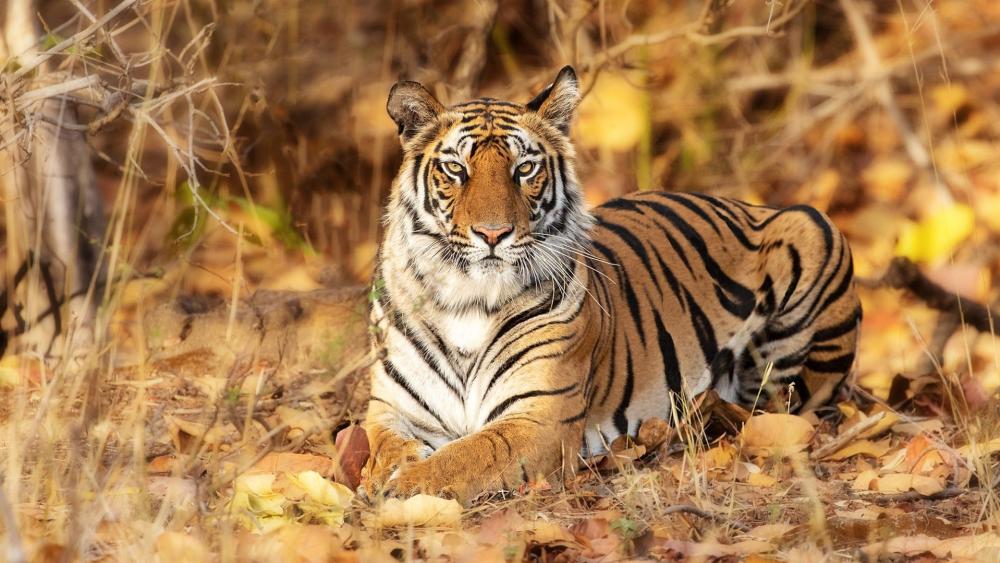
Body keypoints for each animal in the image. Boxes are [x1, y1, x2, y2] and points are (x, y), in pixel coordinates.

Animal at [360, 66, 861, 504]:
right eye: (456, 170)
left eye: (524, 169)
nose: (492, 233)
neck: (467, 300)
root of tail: (746, 204)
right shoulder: (391, 407)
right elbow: (379, 445)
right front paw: (383, 474)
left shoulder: (539, 417)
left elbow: (466, 456)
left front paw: (404, 486)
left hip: (812, 230)